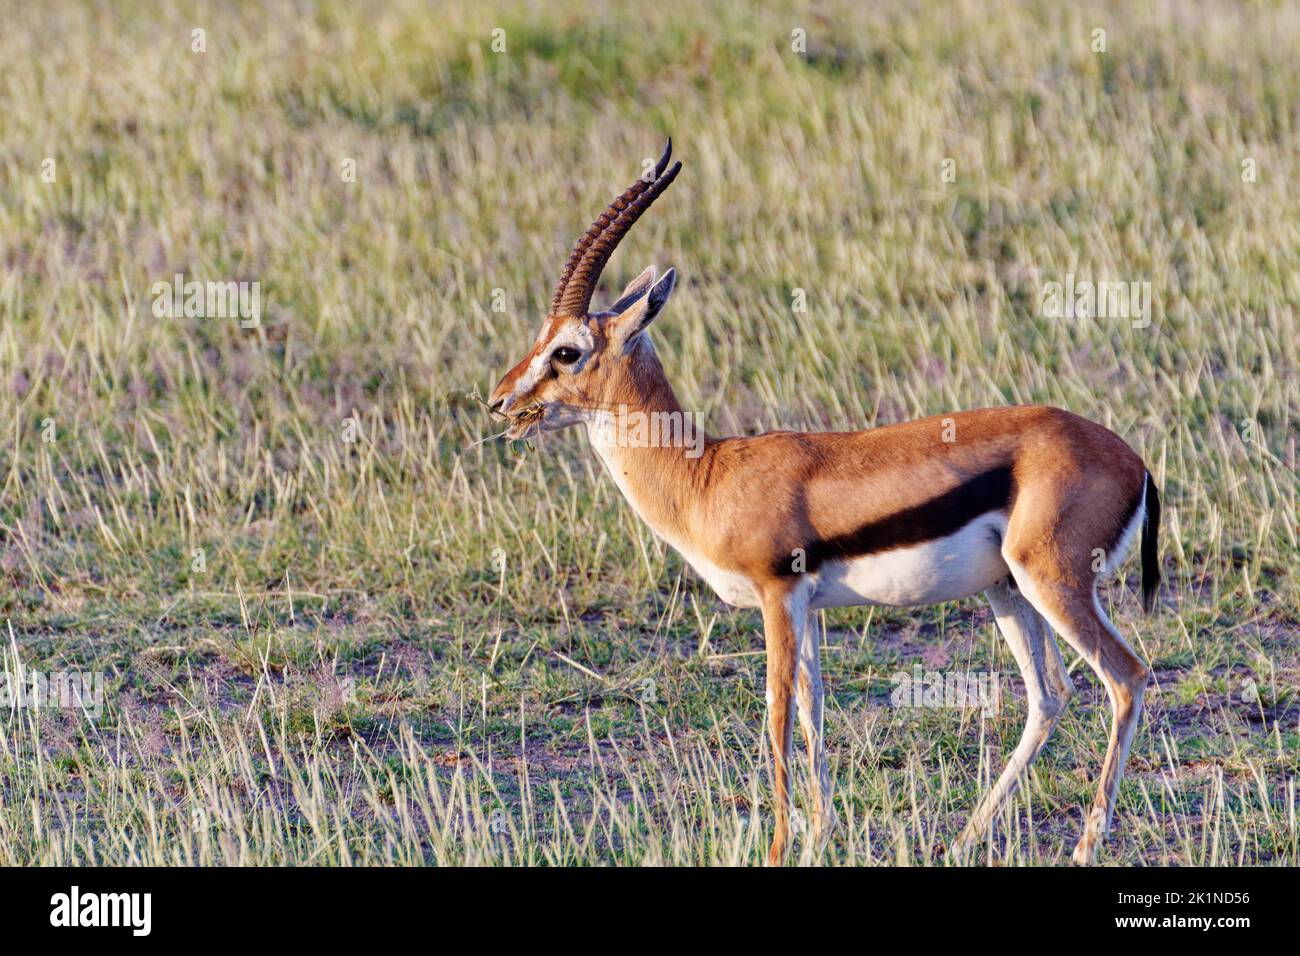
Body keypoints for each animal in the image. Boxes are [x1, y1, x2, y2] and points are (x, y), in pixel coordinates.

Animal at [488, 141, 1161, 866]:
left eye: (567, 351)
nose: (499, 401)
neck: (707, 475)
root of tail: (1135, 463)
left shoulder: (778, 596)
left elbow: (778, 711)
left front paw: (779, 848)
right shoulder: (807, 606)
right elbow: (813, 711)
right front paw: (816, 838)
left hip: (1052, 582)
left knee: (1126, 677)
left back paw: (1085, 845)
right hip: (1007, 590)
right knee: (1050, 696)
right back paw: (964, 839)